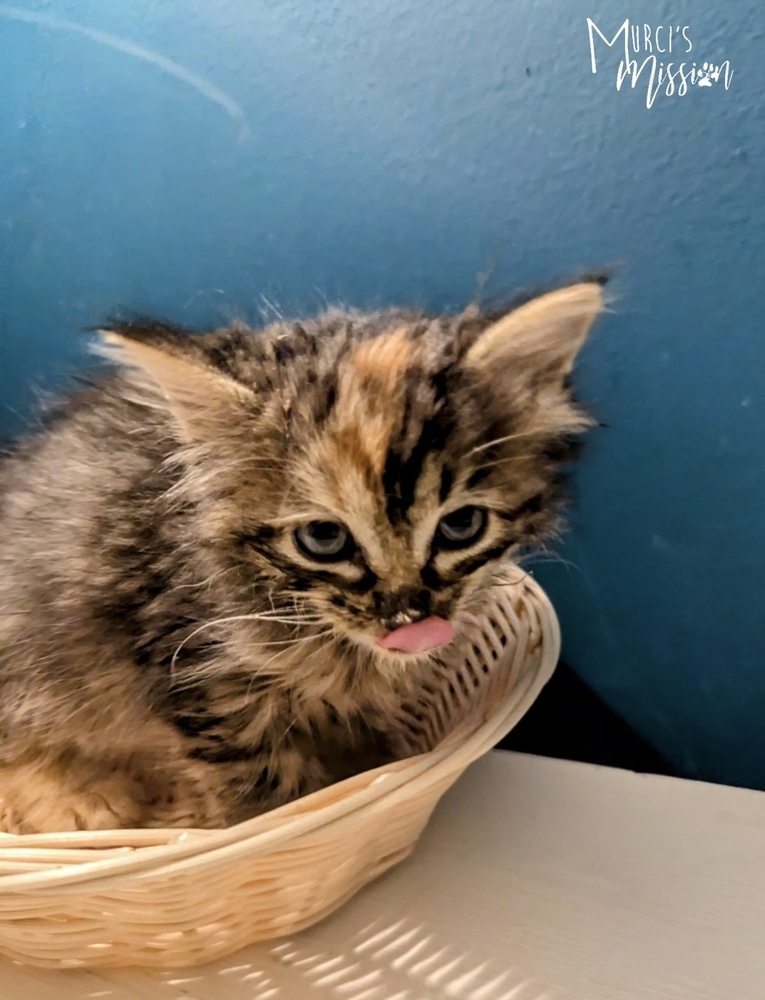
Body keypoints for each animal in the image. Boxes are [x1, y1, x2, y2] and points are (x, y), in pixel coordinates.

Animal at [0, 280, 604, 828]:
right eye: (323, 539)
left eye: (461, 526)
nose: (409, 619)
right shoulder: (200, 680)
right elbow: (271, 797)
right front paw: (262, 818)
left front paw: (374, 767)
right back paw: (80, 801)